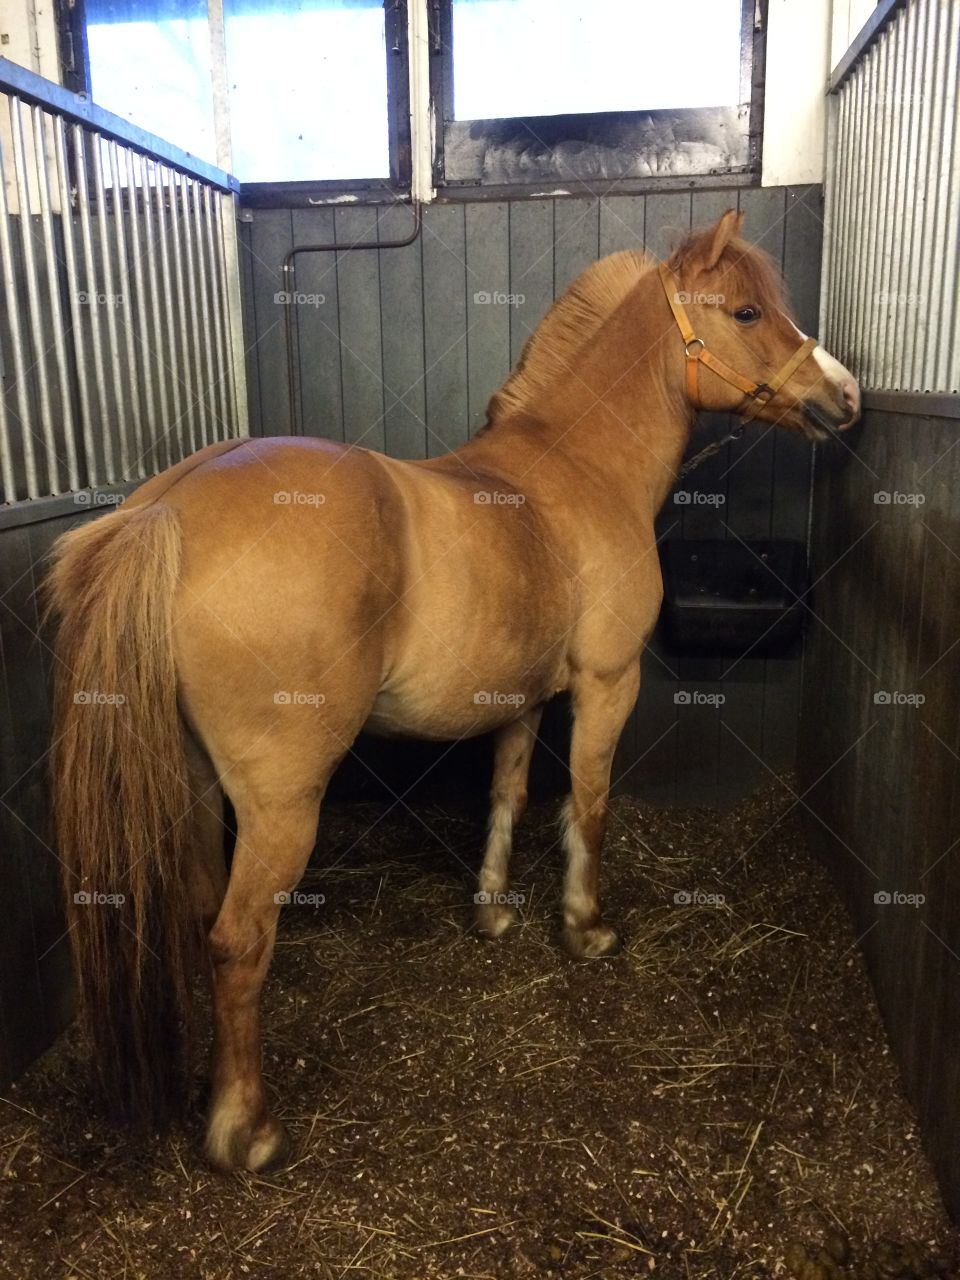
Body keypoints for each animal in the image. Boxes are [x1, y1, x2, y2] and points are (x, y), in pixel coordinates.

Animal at [47, 209, 860, 1173]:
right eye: (745, 311)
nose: (846, 395)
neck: (576, 471)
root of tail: (168, 507)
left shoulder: (520, 703)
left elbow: (507, 796)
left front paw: (493, 914)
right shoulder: (606, 686)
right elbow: (588, 806)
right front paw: (584, 927)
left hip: (195, 782)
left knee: (197, 911)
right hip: (282, 801)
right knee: (238, 940)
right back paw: (246, 1128)